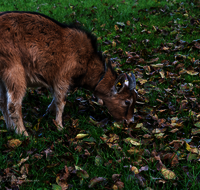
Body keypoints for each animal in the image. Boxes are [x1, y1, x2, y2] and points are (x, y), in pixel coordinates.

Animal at [0, 11, 138, 136]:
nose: (129, 122)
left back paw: (10, 129)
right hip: (14, 70)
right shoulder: (62, 77)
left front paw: (48, 112)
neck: (88, 60)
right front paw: (60, 127)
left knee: (3, 103)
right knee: (12, 105)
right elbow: (61, 101)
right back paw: (24, 135)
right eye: (127, 101)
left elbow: (56, 99)